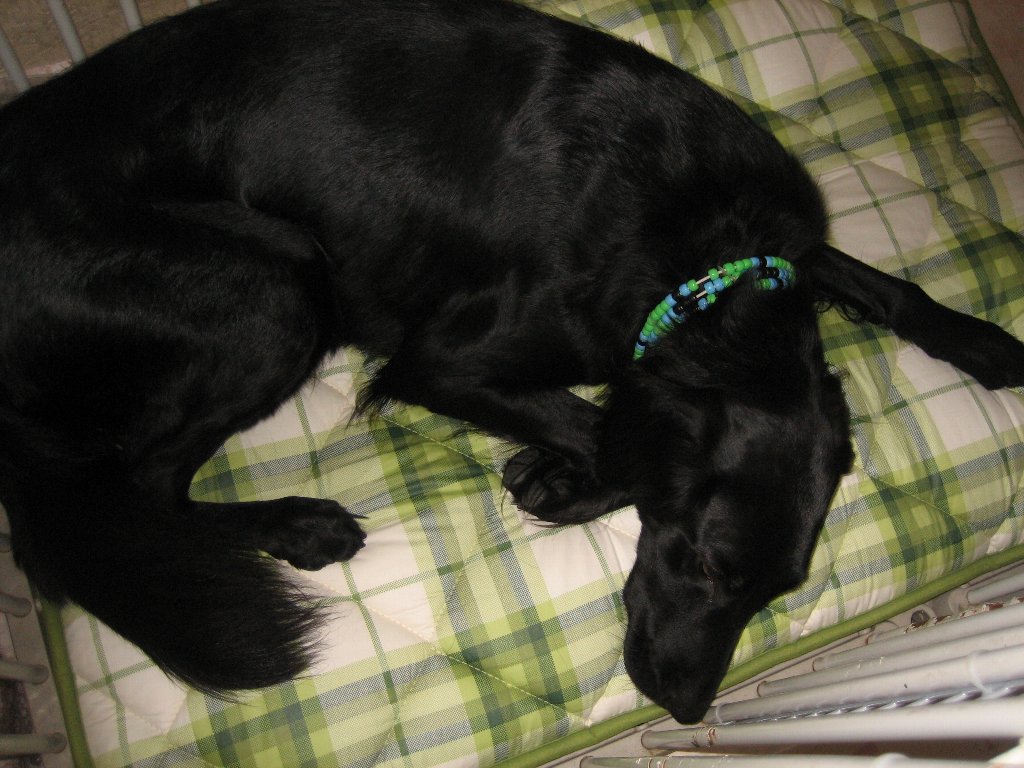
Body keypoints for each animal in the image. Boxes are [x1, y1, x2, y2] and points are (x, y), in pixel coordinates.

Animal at [2, 0, 1023, 725]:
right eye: (703, 564)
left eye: (780, 591)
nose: (688, 709)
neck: (701, 256)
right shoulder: (441, 361)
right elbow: (601, 425)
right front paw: (567, 483)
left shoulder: (782, 248)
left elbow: (874, 280)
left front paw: (983, 340)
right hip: (278, 284)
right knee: (145, 483)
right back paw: (299, 524)